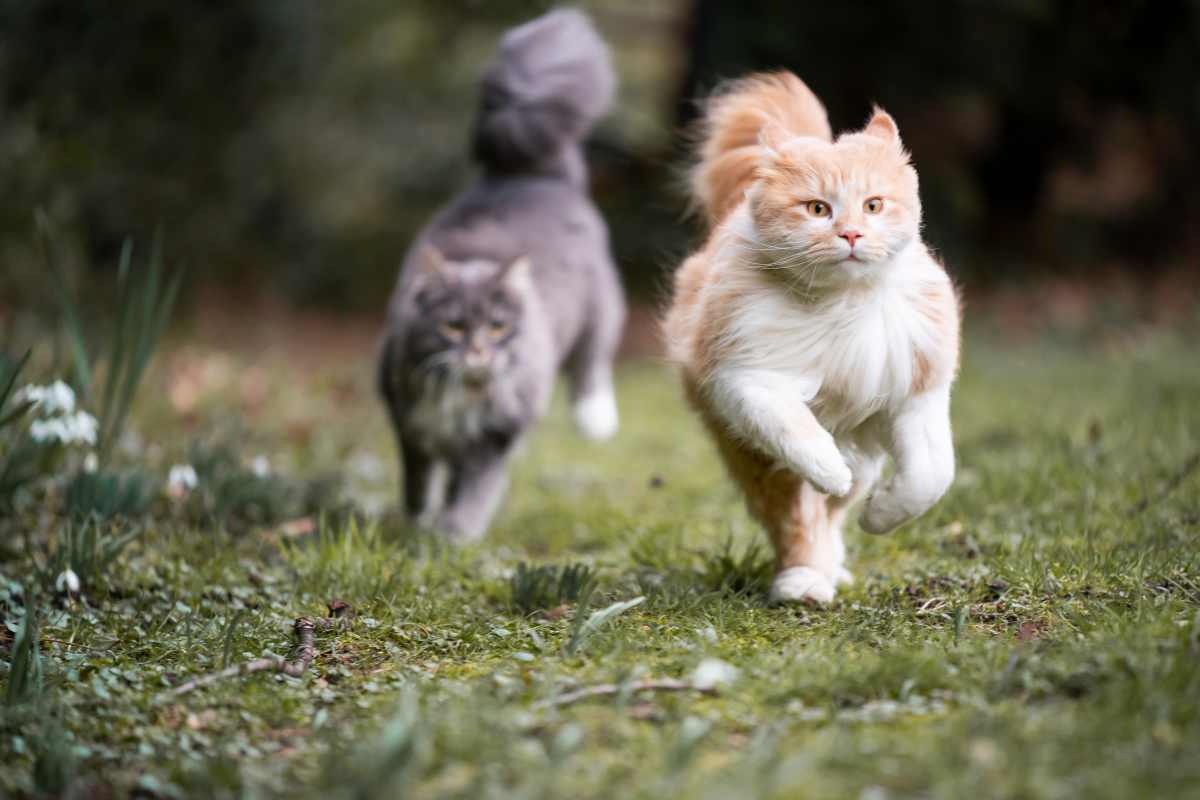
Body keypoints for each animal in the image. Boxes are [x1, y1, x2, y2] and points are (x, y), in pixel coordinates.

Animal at [379, 9, 628, 542]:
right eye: (453, 325)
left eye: (497, 326)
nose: (478, 351)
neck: (462, 393)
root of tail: (531, 174)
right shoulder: (410, 424)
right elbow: (419, 480)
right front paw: (418, 518)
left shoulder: (494, 439)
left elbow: (475, 492)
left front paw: (452, 535)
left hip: (600, 308)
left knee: (593, 361)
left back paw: (595, 419)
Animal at [662, 71, 960, 604]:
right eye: (818, 209)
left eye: (873, 205)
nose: (851, 235)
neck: (845, 304)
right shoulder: (748, 379)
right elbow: (799, 436)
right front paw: (830, 470)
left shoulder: (916, 396)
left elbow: (929, 476)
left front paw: (880, 515)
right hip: (753, 456)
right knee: (798, 520)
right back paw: (804, 582)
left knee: (837, 513)